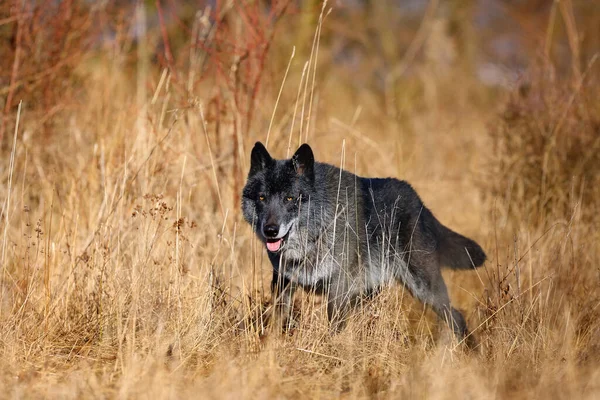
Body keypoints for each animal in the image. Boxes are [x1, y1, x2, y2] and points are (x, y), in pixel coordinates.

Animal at [240, 142, 488, 346]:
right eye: (262, 198)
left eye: (290, 198)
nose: (270, 231)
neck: (316, 235)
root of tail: (419, 201)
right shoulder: (283, 282)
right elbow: (276, 323)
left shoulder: (338, 289)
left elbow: (334, 329)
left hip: (424, 289)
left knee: (457, 317)